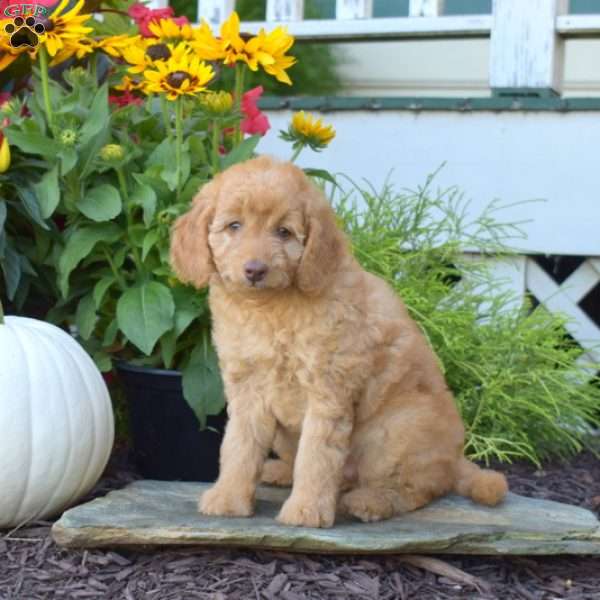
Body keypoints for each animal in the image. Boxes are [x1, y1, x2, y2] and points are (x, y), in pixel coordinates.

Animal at [171, 156, 508, 528]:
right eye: (234, 226)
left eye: (283, 232)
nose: (255, 270)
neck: (269, 309)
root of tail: (455, 458)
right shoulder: (247, 388)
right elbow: (238, 446)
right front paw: (229, 498)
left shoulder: (327, 389)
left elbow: (315, 458)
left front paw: (305, 512)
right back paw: (280, 471)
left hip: (394, 432)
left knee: (418, 488)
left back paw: (369, 501)